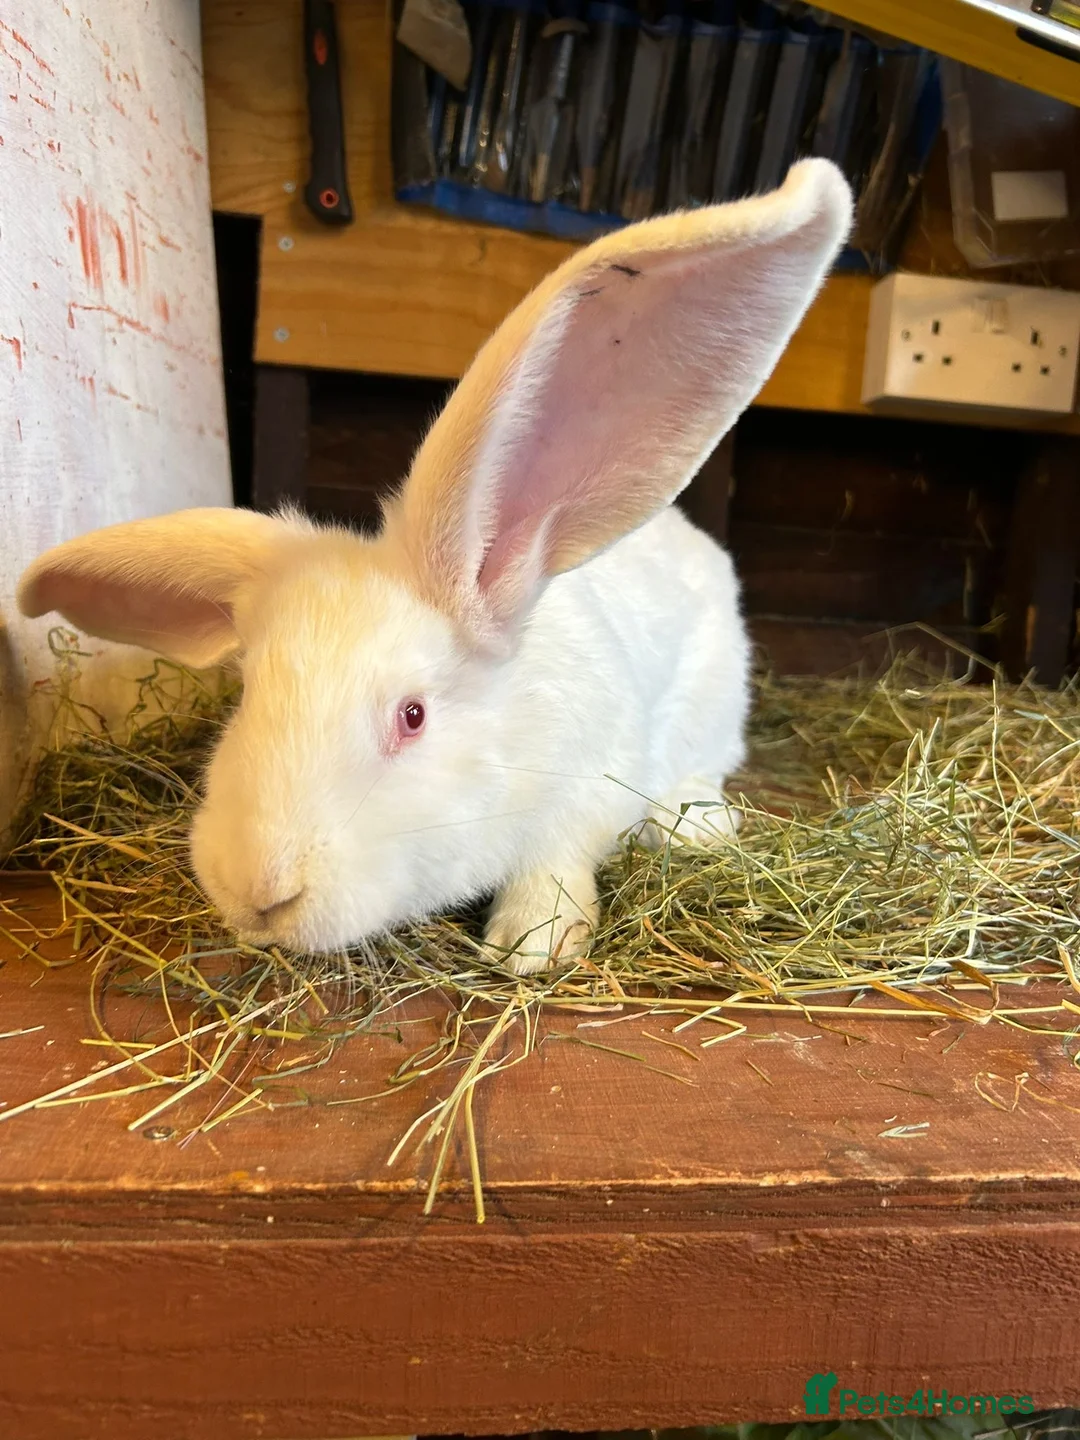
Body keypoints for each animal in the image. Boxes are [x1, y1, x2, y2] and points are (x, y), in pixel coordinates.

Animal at [18, 159, 852, 974]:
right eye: (249, 689)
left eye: (411, 715)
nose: (260, 893)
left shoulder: (588, 791)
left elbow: (558, 861)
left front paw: (532, 943)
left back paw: (695, 825)